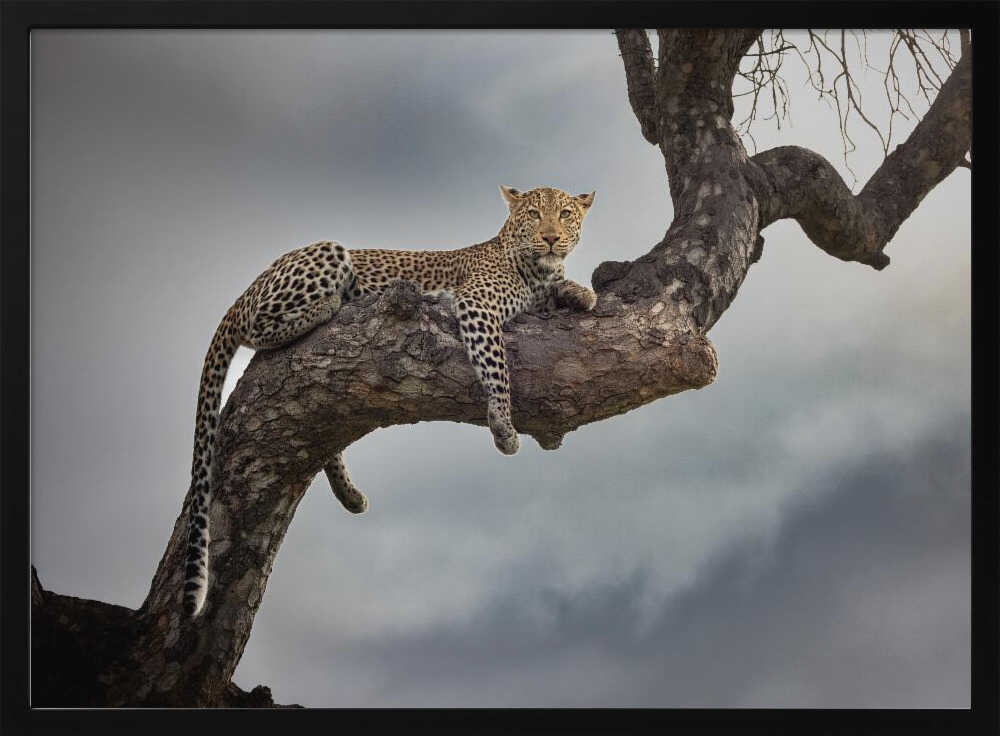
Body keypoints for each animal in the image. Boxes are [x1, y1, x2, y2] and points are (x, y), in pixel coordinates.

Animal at [182, 185, 597, 618]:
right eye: (533, 215)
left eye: (565, 215)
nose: (550, 238)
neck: (536, 270)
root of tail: (250, 285)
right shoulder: (476, 305)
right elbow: (496, 364)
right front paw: (503, 425)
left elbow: (562, 290)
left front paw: (580, 293)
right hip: (326, 253)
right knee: (260, 328)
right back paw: (329, 304)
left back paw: (349, 493)